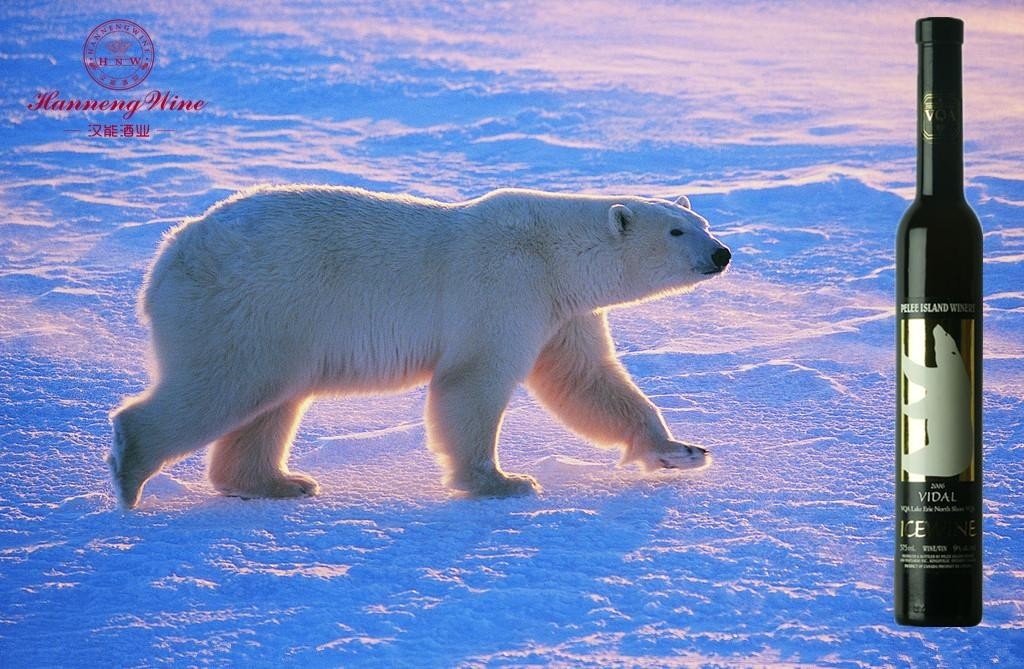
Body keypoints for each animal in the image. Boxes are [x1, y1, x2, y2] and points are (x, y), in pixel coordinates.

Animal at [108, 182, 733, 506]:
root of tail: (167, 257)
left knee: (271, 400)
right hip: (249, 307)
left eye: (701, 221)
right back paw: (130, 471)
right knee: (223, 386)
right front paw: (502, 482)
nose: (722, 252)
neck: (554, 252)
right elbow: (472, 380)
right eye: (677, 230)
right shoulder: (505, 286)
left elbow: (588, 380)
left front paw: (682, 450)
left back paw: (279, 483)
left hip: (277, 325)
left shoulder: (562, 311)